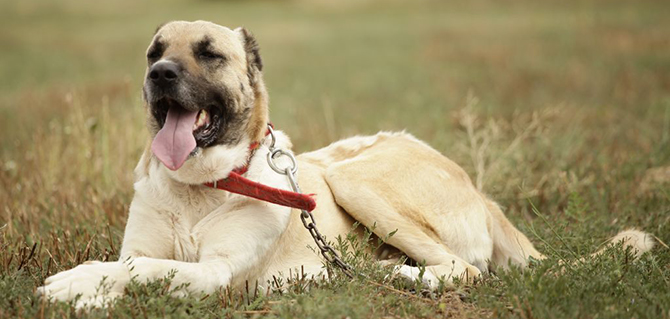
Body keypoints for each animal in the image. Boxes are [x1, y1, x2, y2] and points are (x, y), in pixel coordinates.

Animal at [36, 19, 656, 308]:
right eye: (154, 52)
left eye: (209, 54)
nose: (160, 74)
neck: (203, 186)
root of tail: (481, 193)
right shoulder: (148, 248)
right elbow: (137, 264)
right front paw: (87, 294)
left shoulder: (216, 274)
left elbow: (142, 270)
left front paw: (77, 280)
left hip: (353, 180)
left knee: (464, 269)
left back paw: (401, 275)